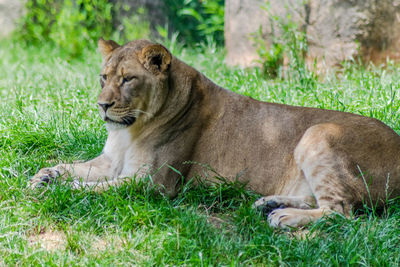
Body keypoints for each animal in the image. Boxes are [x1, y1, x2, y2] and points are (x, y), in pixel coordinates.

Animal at [30, 38, 400, 229]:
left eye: (128, 79)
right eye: (103, 77)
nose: (102, 105)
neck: (130, 130)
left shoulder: (153, 183)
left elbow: (94, 188)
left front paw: (57, 190)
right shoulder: (112, 161)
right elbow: (75, 166)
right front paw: (44, 176)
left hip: (318, 133)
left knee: (343, 212)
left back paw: (282, 216)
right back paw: (269, 204)